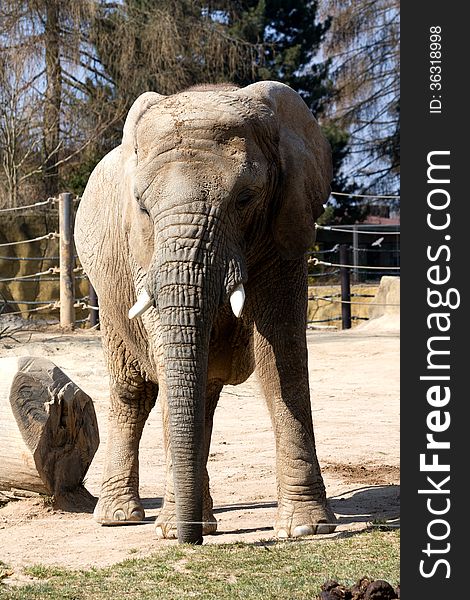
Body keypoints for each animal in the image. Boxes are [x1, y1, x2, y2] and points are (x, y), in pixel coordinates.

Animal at [75, 79, 336, 544]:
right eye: (141, 205)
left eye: (246, 198)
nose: (190, 541)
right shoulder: (144, 252)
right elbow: (166, 358)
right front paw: (170, 530)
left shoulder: (286, 227)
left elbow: (281, 356)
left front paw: (307, 527)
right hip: (107, 292)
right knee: (133, 390)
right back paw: (121, 517)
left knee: (204, 392)